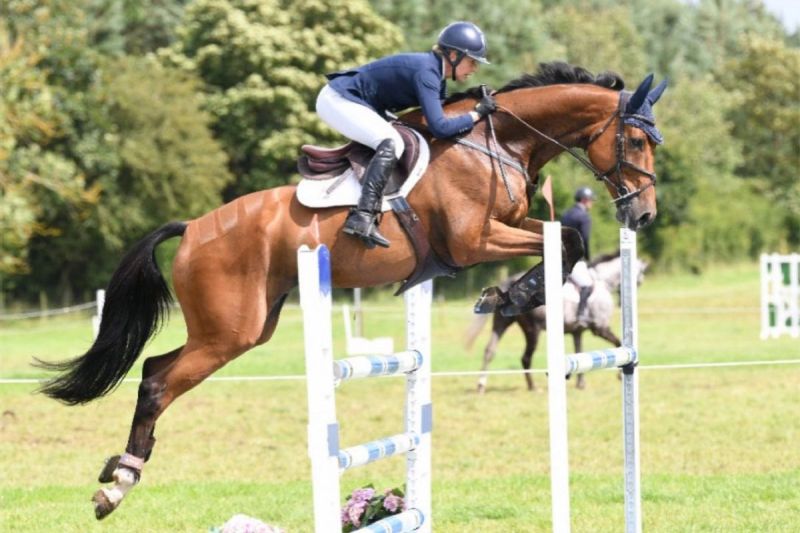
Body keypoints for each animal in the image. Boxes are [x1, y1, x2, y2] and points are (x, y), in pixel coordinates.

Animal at [465, 251, 648, 393]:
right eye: (640, 276)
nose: (621, 301)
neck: (602, 282)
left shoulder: (577, 331)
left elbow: (579, 350)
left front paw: (581, 383)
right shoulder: (600, 328)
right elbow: (618, 344)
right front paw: (620, 373)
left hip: (502, 323)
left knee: (490, 350)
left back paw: (481, 385)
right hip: (533, 330)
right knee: (525, 357)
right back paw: (532, 387)